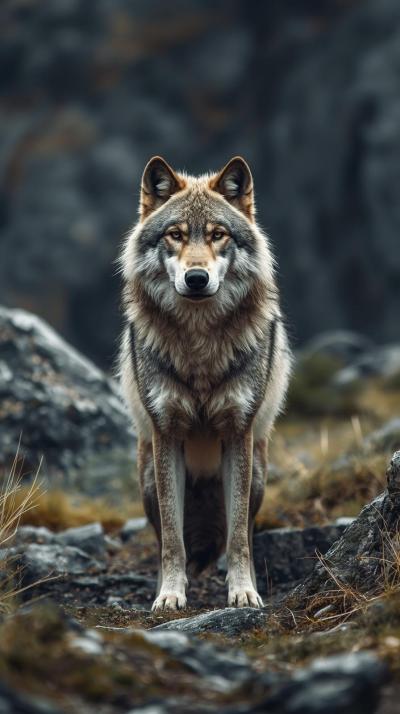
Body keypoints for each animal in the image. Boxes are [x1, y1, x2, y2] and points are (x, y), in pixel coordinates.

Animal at [119, 155, 291, 611]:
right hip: (147, 476)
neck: (199, 346)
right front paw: (170, 595)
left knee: (242, 529)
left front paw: (243, 592)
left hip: (259, 474)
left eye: (217, 234)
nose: (196, 278)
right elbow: (172, 540)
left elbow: (239, 538)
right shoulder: (166, 434)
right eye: (176, 235)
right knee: (164, 534)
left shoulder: (237, 432)